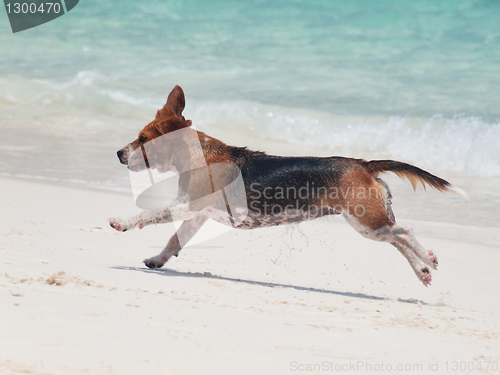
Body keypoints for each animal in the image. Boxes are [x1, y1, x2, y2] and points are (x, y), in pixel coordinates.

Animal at [109, 85, 468, 286]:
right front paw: (158, 260)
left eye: (142, 139)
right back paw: (422, 270)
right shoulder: (198, 213)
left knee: (405, 232)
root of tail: (363, 164)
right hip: (369, 223)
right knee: (398, 238)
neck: (198, 153)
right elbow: (174, 240)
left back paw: (427, 258)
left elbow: (149, 214)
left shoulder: (187, 205)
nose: (118, 153)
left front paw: (122, 222)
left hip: (366, 221)